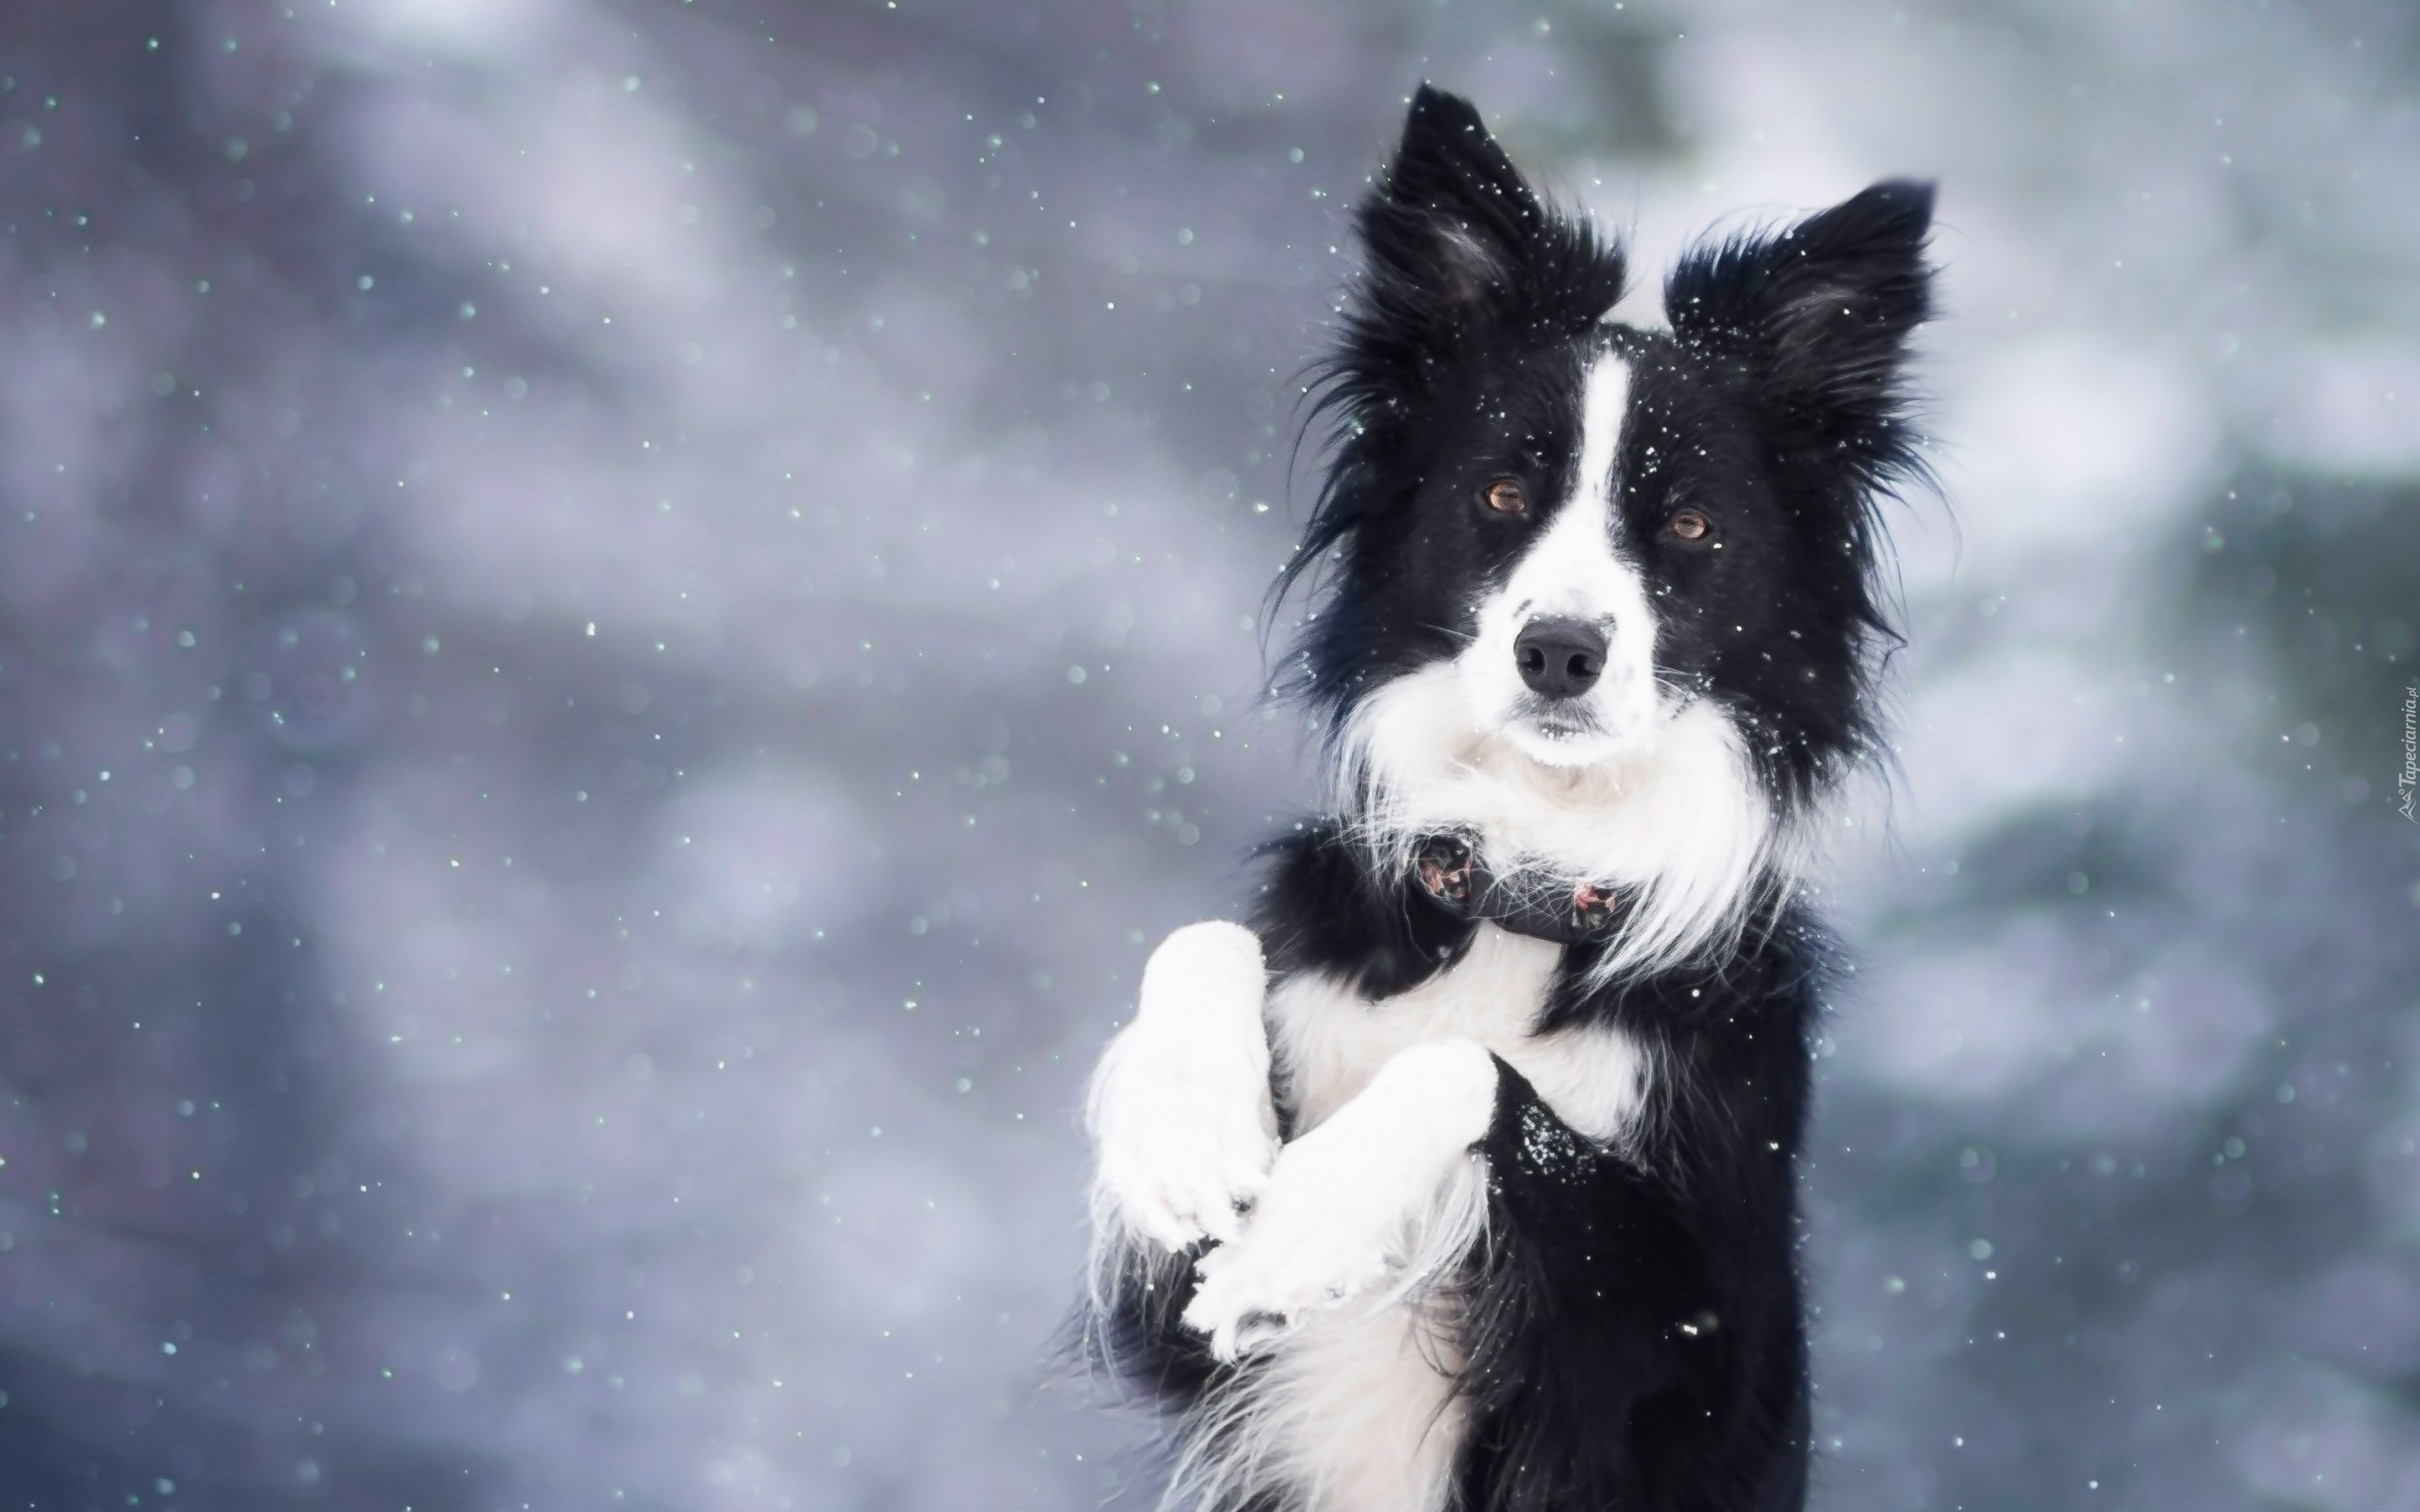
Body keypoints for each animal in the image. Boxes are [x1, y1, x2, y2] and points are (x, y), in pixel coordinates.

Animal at [1089, 88, 1936, 1499]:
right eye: (1500, 493)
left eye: (1690, 526)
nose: (1560, 653)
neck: (1522, 895)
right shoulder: (1177, 1334)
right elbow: (1202, 943)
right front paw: (1190, 1138)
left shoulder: (1703, 1345)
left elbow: (1474, 1075)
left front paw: (1307, 1220)